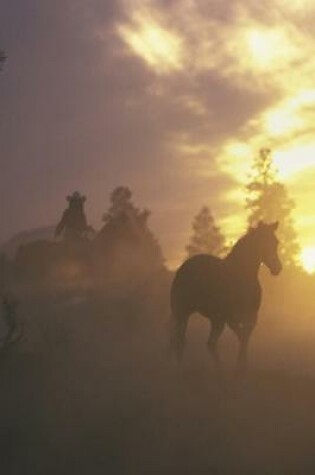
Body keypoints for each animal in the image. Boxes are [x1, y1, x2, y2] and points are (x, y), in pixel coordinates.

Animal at [172, 222, 282, 368]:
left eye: (276, 242)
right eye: (262, 242)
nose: (277, 268)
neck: (241, 275)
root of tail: (183, 267)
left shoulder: (251, 318)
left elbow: (244, 339)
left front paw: (243, 365)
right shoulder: (230, 319)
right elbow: (242, 338)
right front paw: (241, 365)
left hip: (215, 319)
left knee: (208, 344)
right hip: (184, 313)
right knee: (181, 342)